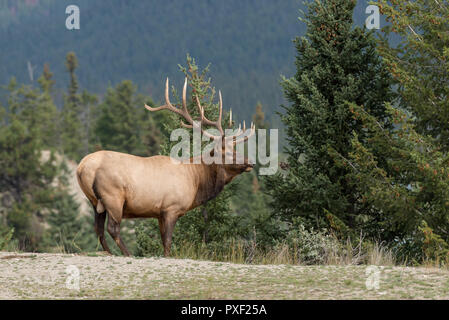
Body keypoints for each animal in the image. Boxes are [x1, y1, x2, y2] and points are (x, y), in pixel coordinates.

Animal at [75, 79, 254, 256]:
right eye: (227, 153)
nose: (250, 162)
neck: (196, 181)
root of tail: (82, 167)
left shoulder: (159, 213)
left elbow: (163, 241)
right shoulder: (171, 208)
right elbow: (167, 243)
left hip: (94, 201)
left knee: (98, 229)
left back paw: (109, 253)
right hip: (113, 196)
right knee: (112, 228)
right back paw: (127, 253)